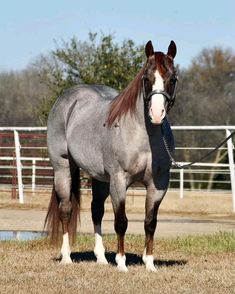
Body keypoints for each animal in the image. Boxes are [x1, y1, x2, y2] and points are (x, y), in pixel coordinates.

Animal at [45, 40, 177, 272]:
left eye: (172, 79)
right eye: (146, 78)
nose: (156, 113)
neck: (144, 138)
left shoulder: (158, 184)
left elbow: (150, 222)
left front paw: (149, 263)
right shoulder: (119, 181)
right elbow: (121, 222)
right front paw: (122, 263)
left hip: (101, 179)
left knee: (96, 210)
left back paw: (101, 257)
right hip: (63, 169)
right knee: (66, 209)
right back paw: (67, 256)